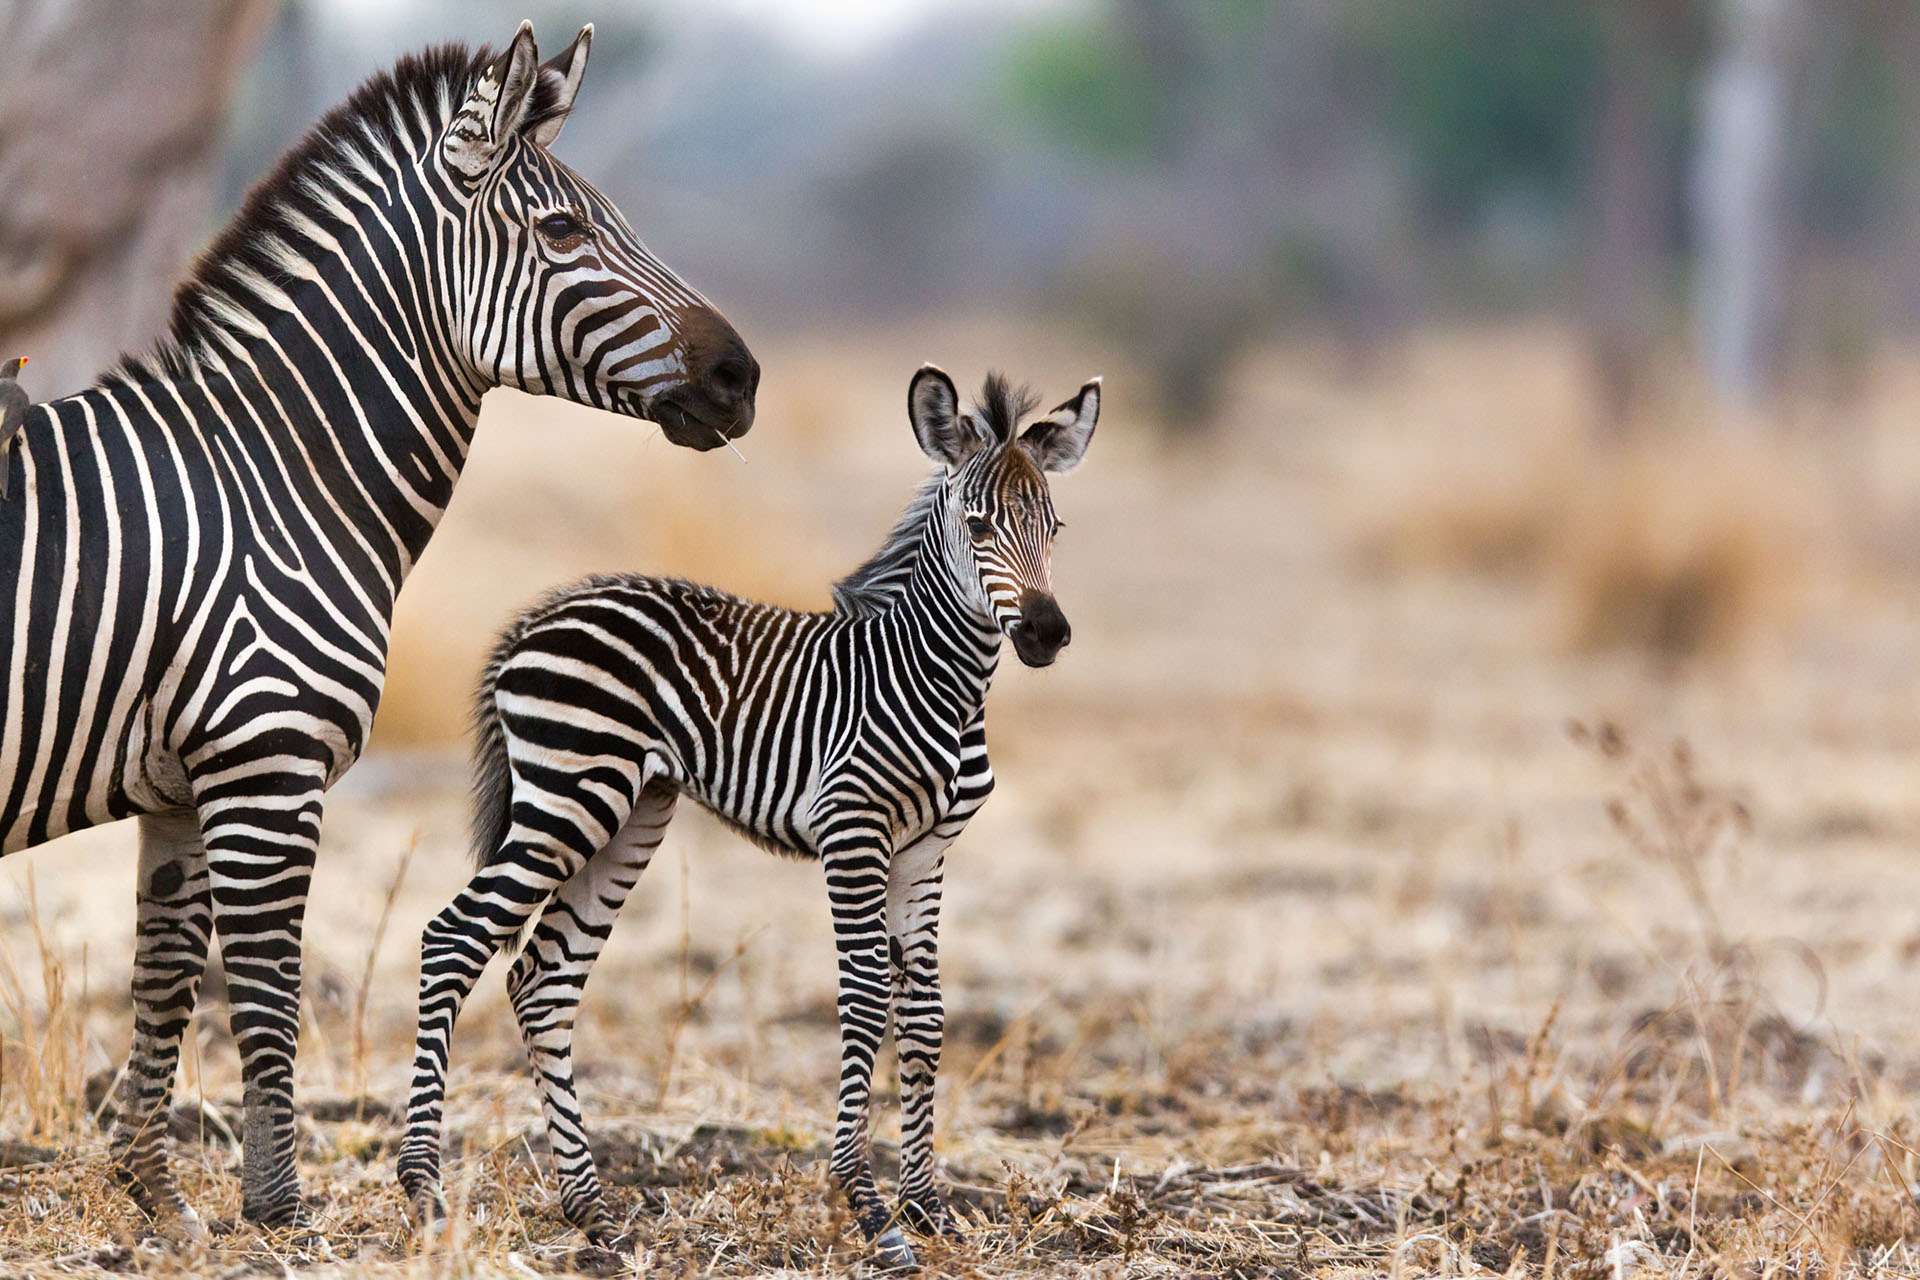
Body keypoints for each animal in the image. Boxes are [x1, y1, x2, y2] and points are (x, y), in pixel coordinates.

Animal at [0, 20, 756, 1235]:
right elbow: (268, 994)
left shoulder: (184, 785)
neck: (273, 478)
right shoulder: (267, 763)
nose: (743, 376)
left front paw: (158, 1198)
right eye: (563, 230)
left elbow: (165, 978)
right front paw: (281, 1215)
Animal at [397, 364, 1105, 1266]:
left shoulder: (926, 850)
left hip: (630, 814)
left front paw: (929, 1207)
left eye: (1055, 526)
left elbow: (925, 1013)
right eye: (979, 526)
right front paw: (868, 1207)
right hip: (569, 795)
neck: (934, 681)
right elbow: (865, 997)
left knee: (542, 977)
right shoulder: (852, 831)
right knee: (453, 937)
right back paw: (423, 1191)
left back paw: (592, 1210)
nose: (1048, 634)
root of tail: (539, 615)